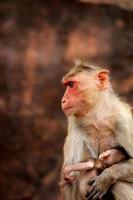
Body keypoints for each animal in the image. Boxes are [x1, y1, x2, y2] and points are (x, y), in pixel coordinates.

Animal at [60, 61, 133, 200]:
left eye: (71, 85)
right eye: (66, 85)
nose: (63, 100)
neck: (98, 117)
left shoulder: (124, 121)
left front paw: (106, 177)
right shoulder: (74, 123)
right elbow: (69, 180)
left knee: (119, 184)